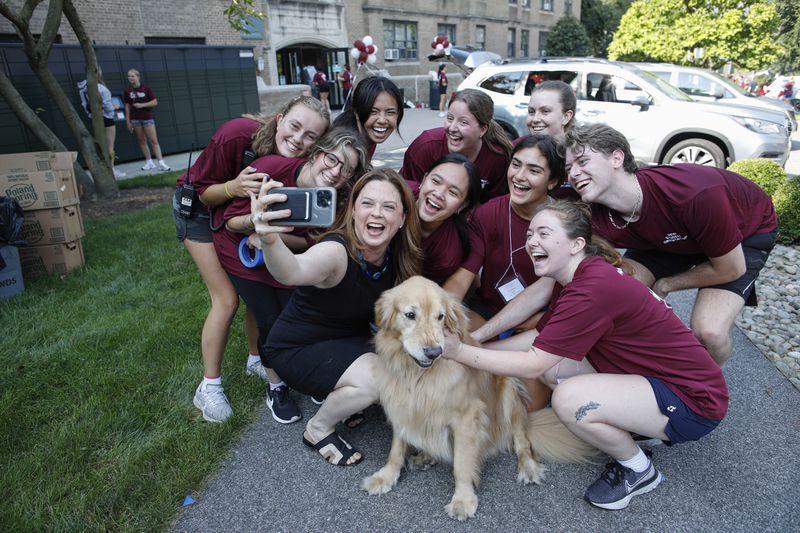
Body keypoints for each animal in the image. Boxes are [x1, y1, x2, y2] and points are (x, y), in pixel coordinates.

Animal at [362, 276, 592, 516]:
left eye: (440, 316)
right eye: (409, 315)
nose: (434, 353)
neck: (418, 375)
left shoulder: (466, 417)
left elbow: (461, 463)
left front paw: (463, 499)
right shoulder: (401, 405)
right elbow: (396, 449)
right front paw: (386, 476)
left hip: (509, 391)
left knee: (521, 441)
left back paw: (528, 467)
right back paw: (426, 456)